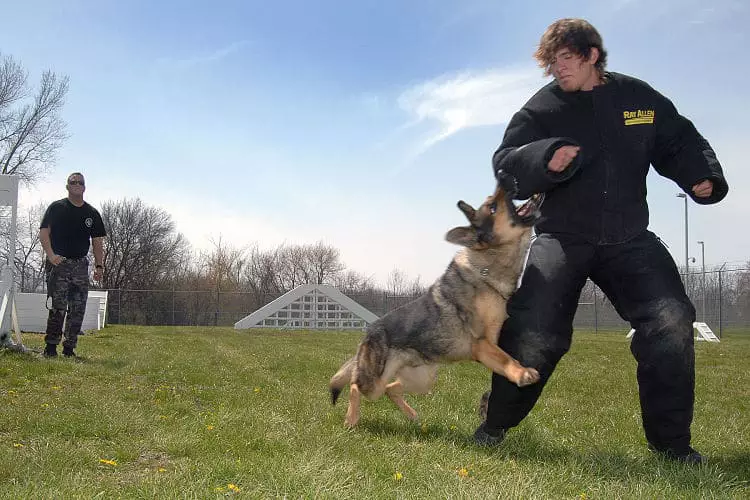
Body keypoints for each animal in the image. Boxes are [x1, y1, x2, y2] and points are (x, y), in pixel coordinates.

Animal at [332, 174, 544, 428]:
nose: (504, 176)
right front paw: (522, 373)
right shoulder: (482, 343)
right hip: (375, 381)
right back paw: (351, 419)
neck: (489, 265)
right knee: (355, 385)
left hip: (422, 379)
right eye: (492, 206)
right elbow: (506, 358)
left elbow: (505, 356)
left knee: (391, 389)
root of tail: (368, 333)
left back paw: (413, 416)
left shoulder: (489, 341)